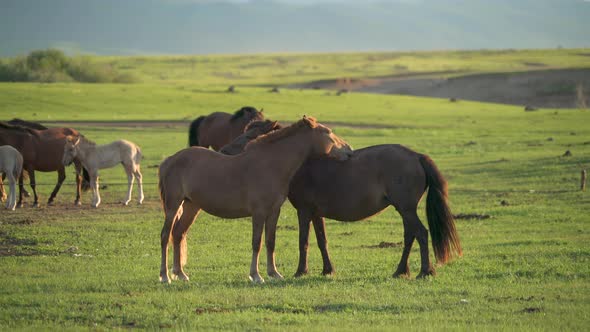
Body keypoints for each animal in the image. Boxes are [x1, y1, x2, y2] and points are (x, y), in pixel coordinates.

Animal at [158, 116, 352, 282]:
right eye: (328, 132)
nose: (349, 150)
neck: (270, 165)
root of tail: (170, 160)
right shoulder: (258, 212)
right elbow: (256, 242)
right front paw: (256, 275)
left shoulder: (274, 212)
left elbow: (270, 241)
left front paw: (274, 273)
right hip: (173, 205)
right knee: (165, 235)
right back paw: (165, 276)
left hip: (191, 206)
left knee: (178, 234)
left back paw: (180, 274)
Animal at [221, 122, 462, 278]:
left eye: (247, 137)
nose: (222, 151)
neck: (301, 163)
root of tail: (416, 156)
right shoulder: (316, 213)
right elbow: (321, 241)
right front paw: (327, 269)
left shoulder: (304, 211)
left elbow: (303, 241)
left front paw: (300, 271)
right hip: (405, 210)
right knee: (410, 236)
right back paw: (401, 270)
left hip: (406, 209)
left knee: (421, 233)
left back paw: (424, 271)